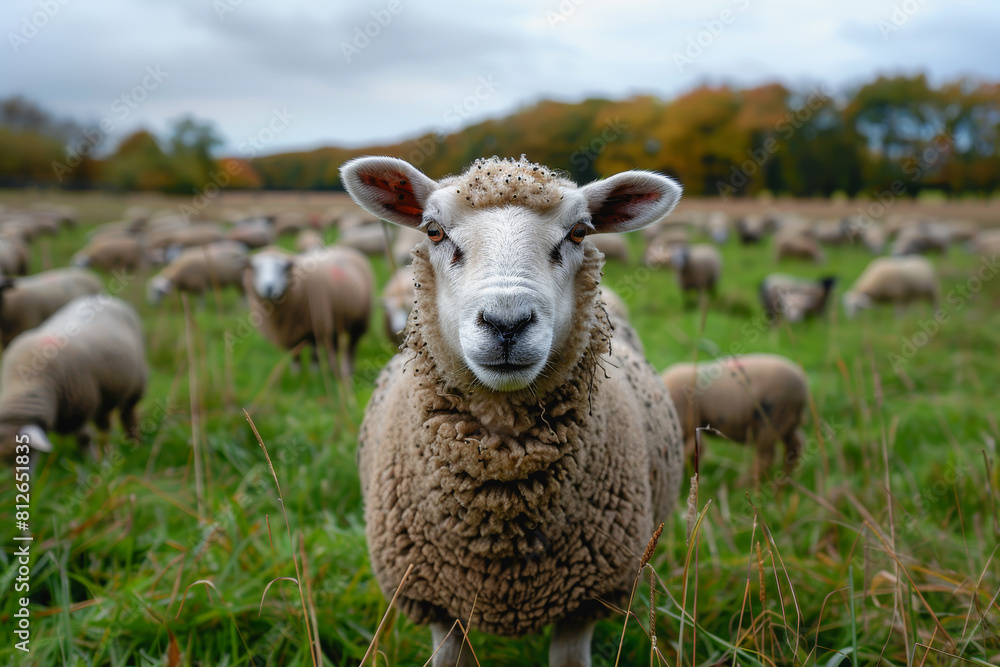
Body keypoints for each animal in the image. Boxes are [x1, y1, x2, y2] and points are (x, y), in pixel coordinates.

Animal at [0, 294, 147, 466]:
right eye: (4, 461)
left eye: (26, 452)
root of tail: (103, 297)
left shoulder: (81, 406)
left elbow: (84, 438)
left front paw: (89, 464)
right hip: (106, 393)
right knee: (104, 425)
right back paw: (106, 452)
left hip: (137, 385)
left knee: (128, 414)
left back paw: (134, 445)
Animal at [243, 245, 374, 376]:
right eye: (255, 269)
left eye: (284, 268)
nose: (269, 288)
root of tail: (343, 247)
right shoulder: (288, 334)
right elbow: (295, 357)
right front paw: (296, 376)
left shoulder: (316, 328)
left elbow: (314, 356)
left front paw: (314, 376)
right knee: (334, 345)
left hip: (359, 319)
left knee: (352, 345)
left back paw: (347, 369)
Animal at [661, 353, 809, 481]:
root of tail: (803, 386)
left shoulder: (689, 420)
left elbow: (692, 449)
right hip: (787, 421)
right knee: (795, 447)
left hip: (772, 419)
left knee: (766, 455)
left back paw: (742, 483)